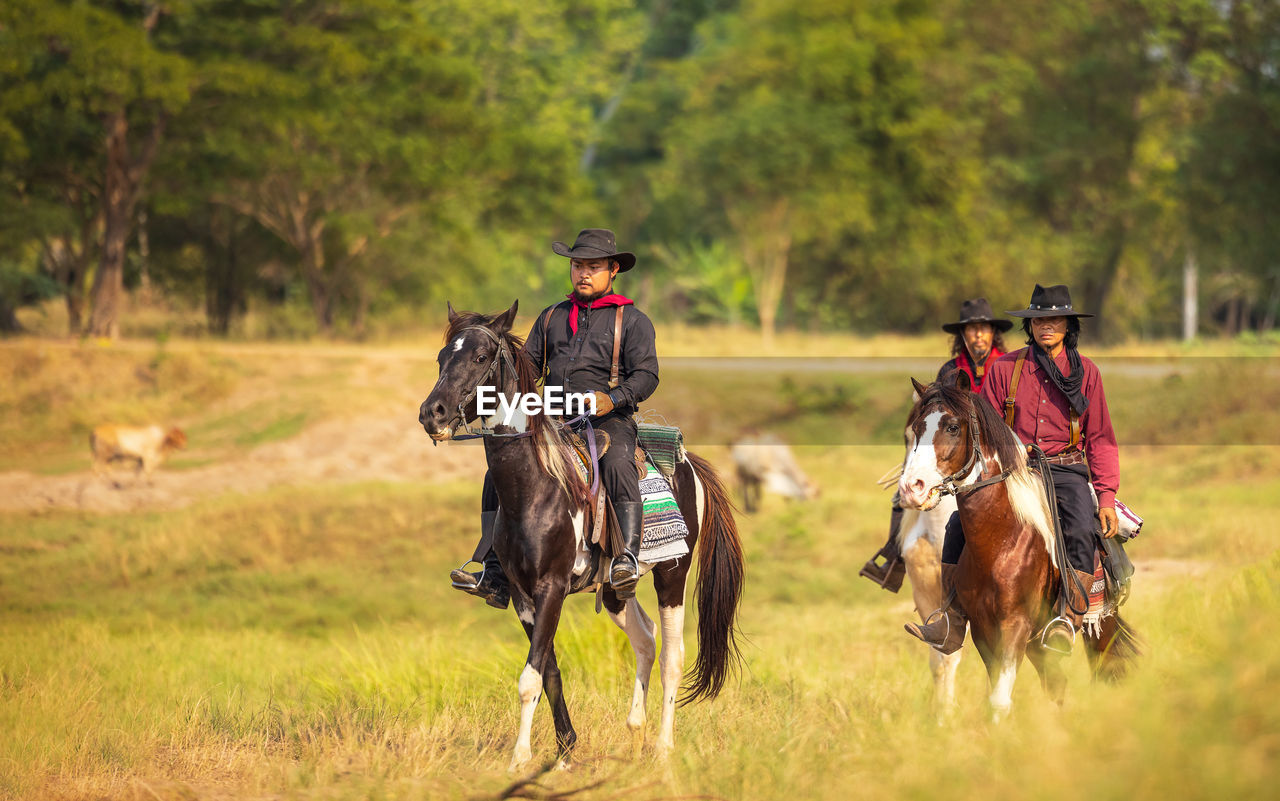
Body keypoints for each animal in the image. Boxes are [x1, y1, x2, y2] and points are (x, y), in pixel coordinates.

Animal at [414, 300, 747, 767]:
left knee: (673, 656)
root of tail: (687, 464)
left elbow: (530, 679)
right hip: (615, 589)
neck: (537, 486)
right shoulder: (523, 595)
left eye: (480, 357)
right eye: (442, 358)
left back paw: (663, 749)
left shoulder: (551, 587)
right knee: (645, 639)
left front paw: (520, 759)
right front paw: (565, 750)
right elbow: (547, 672)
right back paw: (636, 730)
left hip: (673, 575)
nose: (433, 414)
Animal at [896, 373, 1136, 716]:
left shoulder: (1016, 625)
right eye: (915, 429)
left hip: (1098, 624)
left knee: (1107, 668)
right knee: (1056, 683)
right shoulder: (983, 629)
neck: (1000, 541)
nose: (911, 488)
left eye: (952, 427)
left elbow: (999, 699)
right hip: (1037, 644)